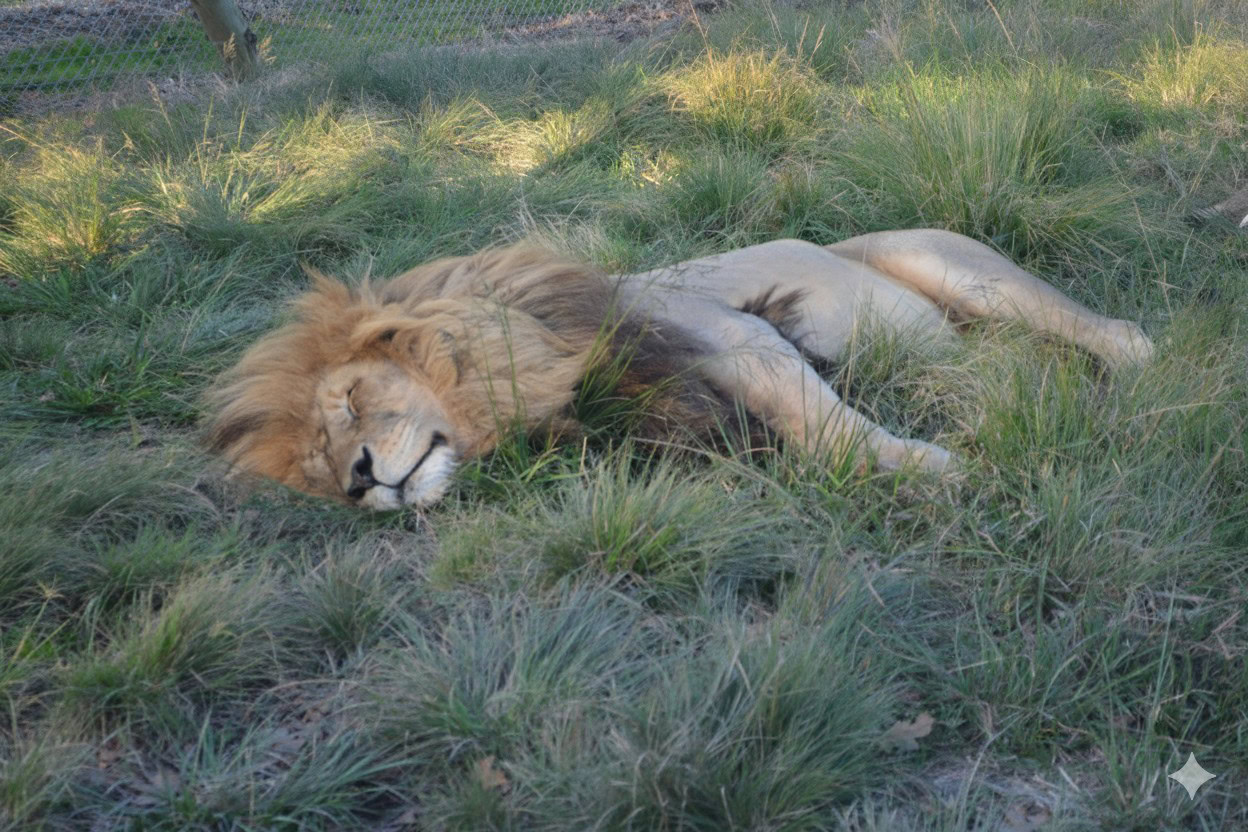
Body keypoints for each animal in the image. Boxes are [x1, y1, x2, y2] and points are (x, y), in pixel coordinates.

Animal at [205, 230, 1154, 511]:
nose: (364, 482)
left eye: (351, 401)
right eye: (324, 474)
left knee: (1112, 333)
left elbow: (829, 428)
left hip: (956, 267)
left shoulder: (740, 333)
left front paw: (932, 468)